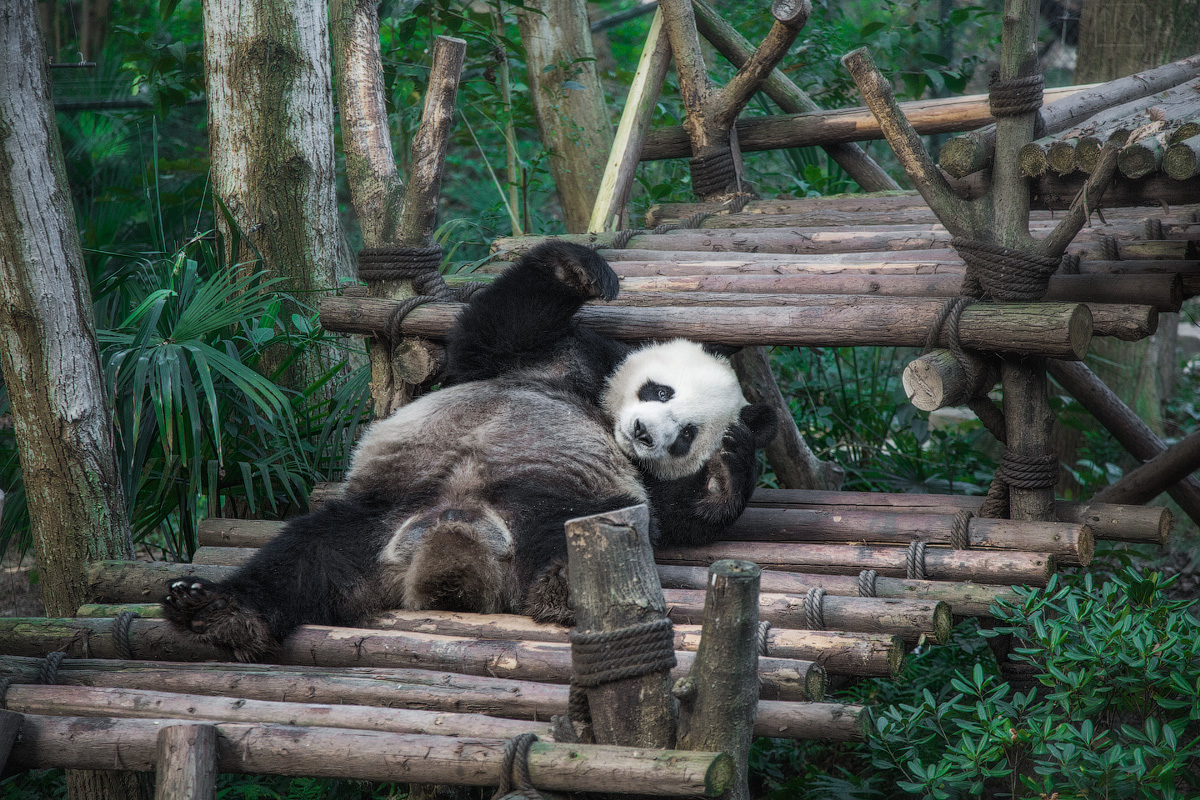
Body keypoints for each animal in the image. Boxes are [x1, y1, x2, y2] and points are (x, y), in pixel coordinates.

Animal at [162, 241, 777, 662]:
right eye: (660, 391)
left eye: (686, 434)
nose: (646, 435)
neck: (602, 411)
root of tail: (453, 542)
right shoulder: (553, 357)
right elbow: (491, 334)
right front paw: (582, 271)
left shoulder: (649, 484)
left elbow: (684, 516)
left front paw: (727, 462)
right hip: (375, 514)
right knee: (301, 558)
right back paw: (217, 611)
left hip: (555, 506)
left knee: (576, 528)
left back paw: (563, 587)